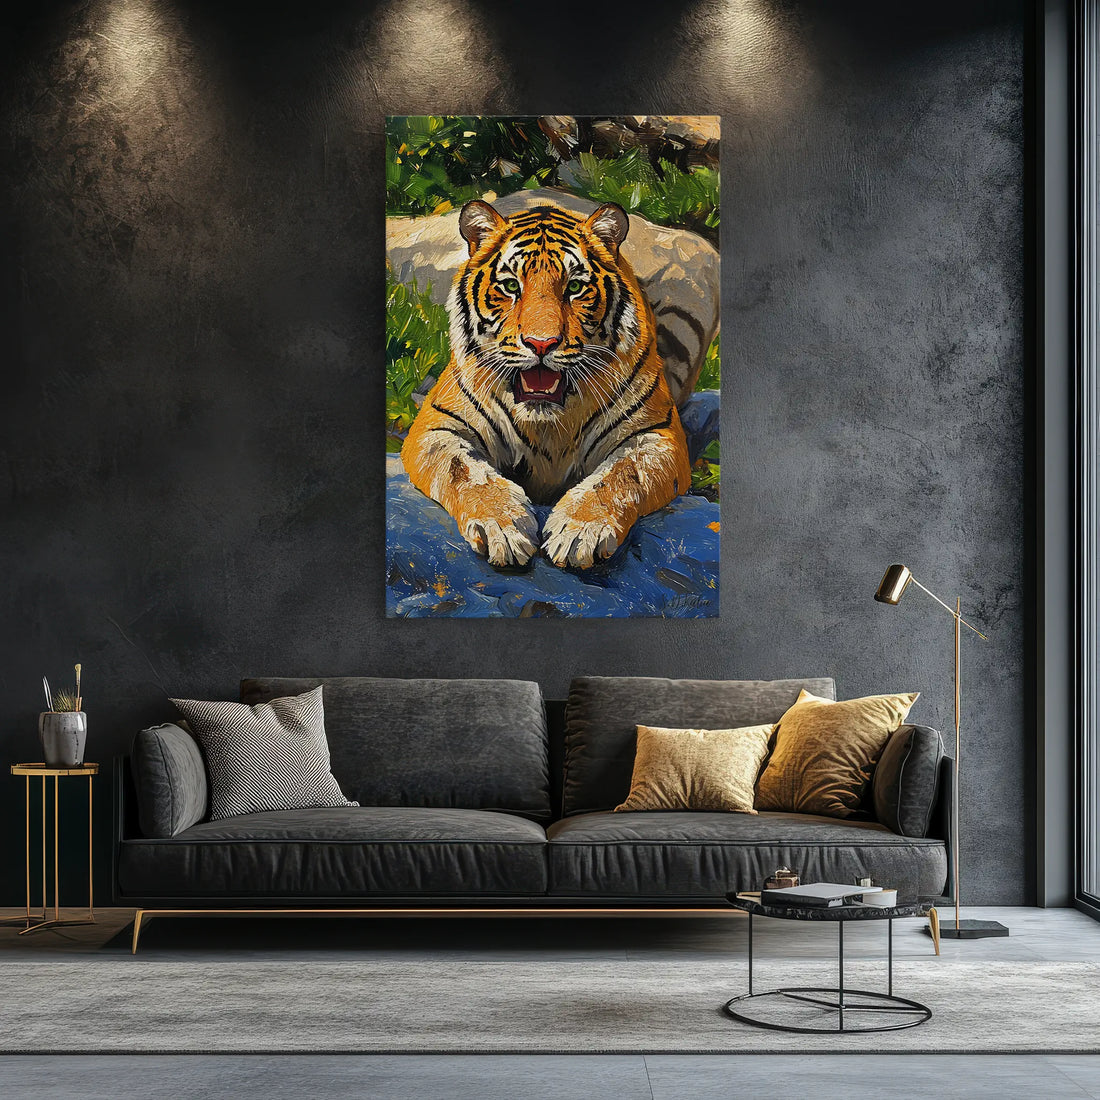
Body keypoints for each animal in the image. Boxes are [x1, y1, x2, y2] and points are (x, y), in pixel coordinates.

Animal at [400, 199, 693, 570]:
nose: (541, 344)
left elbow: (621, 473)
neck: (548, 425)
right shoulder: (437, 427)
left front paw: (580, 531)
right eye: (511, 286)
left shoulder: (656, 435)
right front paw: (503, 527)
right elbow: (465, 472)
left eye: (574, 287)